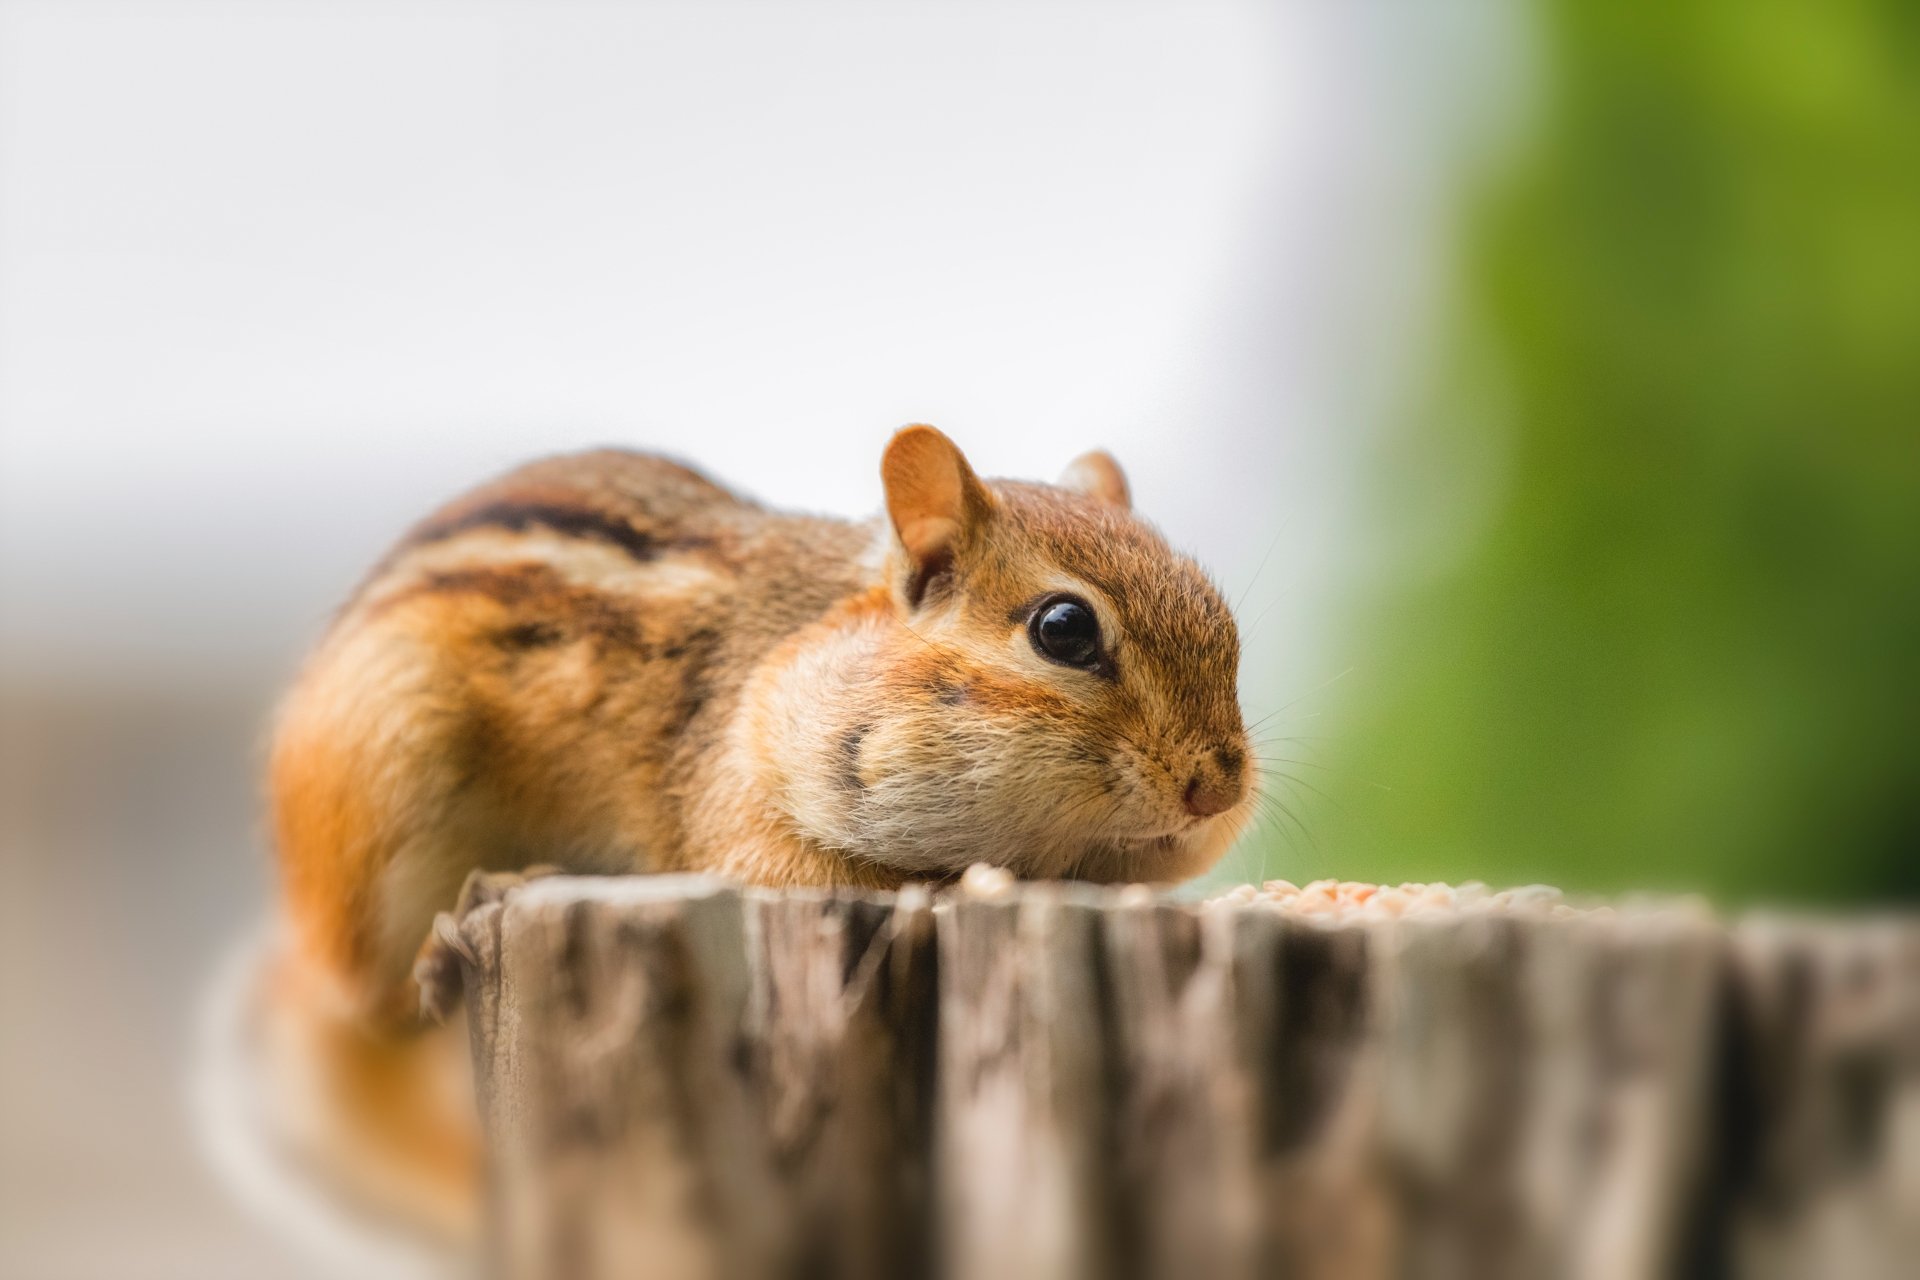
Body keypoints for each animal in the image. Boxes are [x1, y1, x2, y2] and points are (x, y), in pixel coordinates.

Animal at [207, 426, 1253, 1262]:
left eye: (1226, 622)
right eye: (1063, 629)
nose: (1217, 788)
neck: (793, 650)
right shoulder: (742, 816)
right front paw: (956, 884)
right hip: (381, 799)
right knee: (365, 999)